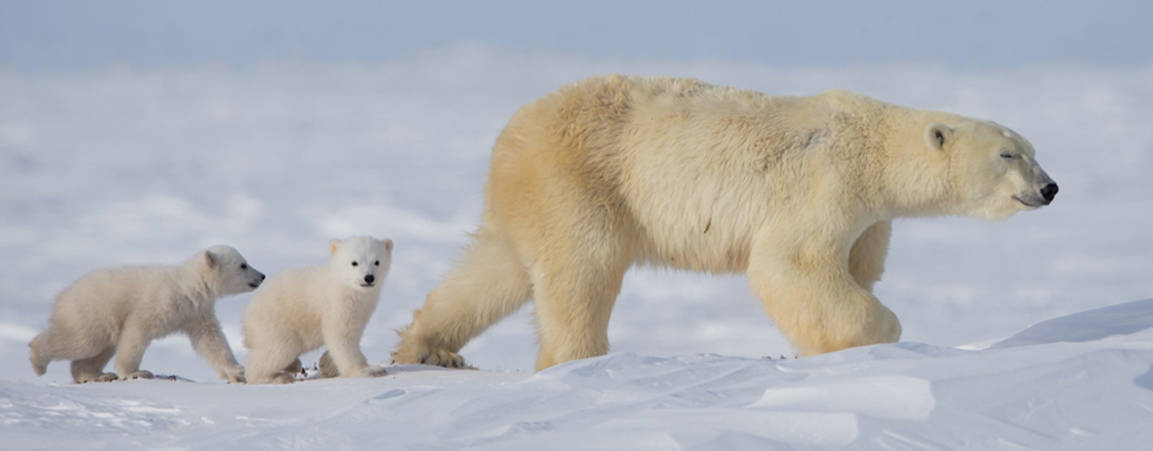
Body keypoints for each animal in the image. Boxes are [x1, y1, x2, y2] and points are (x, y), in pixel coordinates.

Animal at [392, 74, 1056, 371]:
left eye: (1031, 147)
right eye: (1009, 154)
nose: (1050, 188)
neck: (872, 146)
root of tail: (514, 134)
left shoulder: (871, 219)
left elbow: (855, 270)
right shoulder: (826, 183)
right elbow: (791, 264)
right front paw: (876, 334)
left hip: (525, 199)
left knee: (494, 269)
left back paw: (427, 348)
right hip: (580, 180)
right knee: (582, 270)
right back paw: (577, 360)